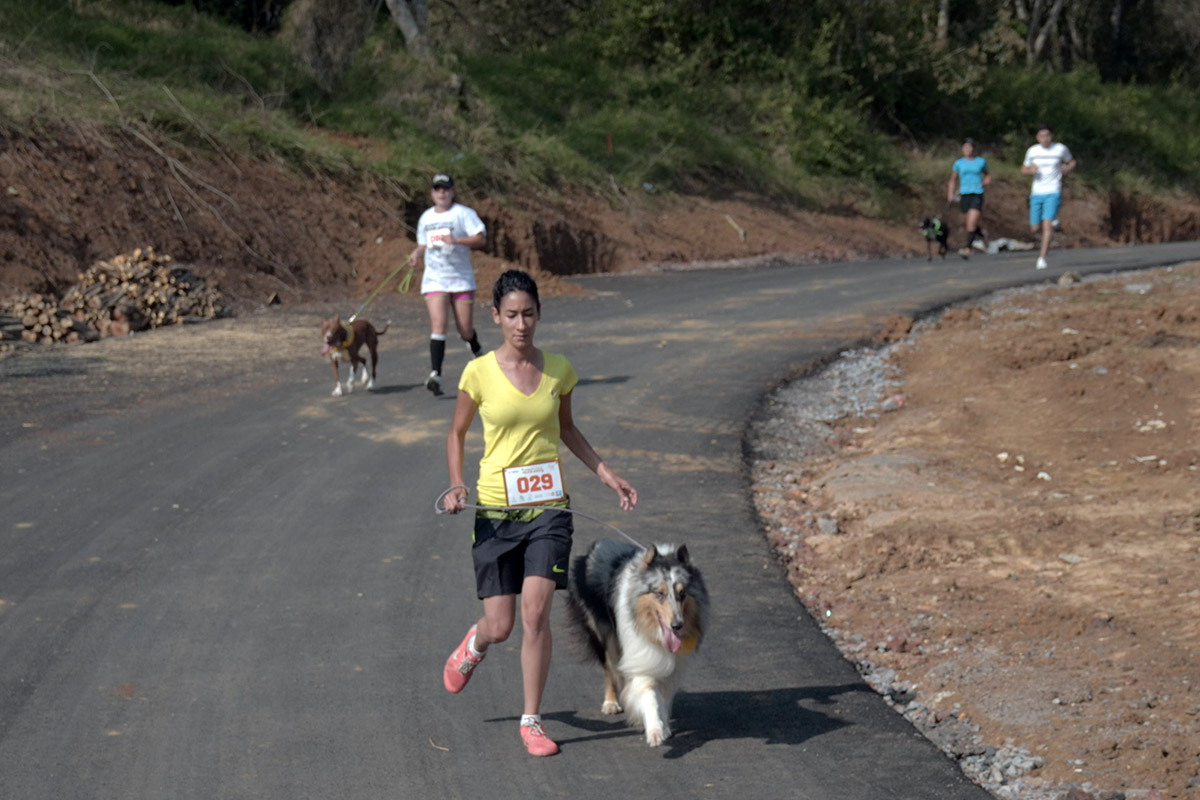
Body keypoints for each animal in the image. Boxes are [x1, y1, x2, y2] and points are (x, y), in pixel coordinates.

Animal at [564, 542, 705, 748]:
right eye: (660, 593)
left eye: (682, 593)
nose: (677, 625)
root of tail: (597, 544)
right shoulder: (640, 656)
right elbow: (649, 696)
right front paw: (654, 730)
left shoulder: (668, 664)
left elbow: (663, 697)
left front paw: (664, 726)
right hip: (607, 635)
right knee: (610, 669)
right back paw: (611, 703)